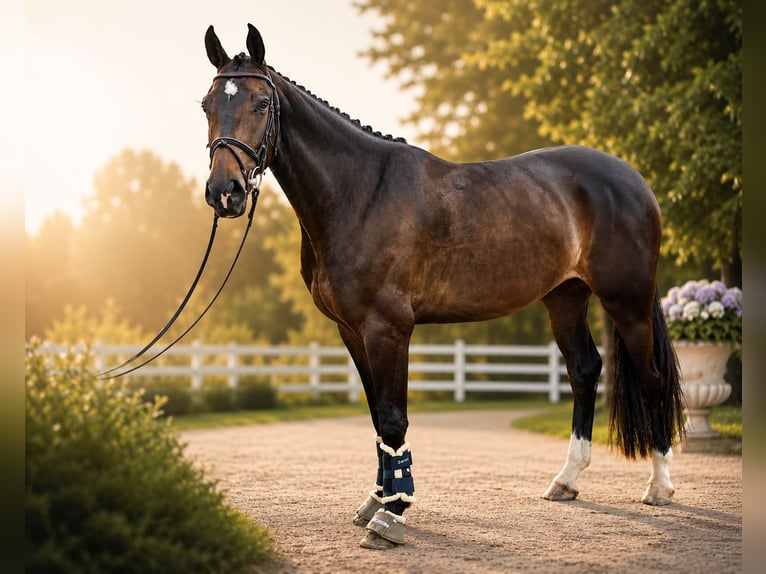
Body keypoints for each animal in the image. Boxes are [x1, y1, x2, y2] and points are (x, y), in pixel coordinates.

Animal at [201, 24, 684, 550]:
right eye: (207, 104)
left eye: (261, 104)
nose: (225, 192)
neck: (360, 193)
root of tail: (634, 179)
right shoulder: (351, 330)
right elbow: (377, 416)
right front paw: (378, 499)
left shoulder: (388, 328)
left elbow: (394, 417)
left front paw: (392, 516)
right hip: (565, 298)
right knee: (584, 370)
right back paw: (566, 481)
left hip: (628, 301)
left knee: (651, 376)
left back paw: (659, 487)